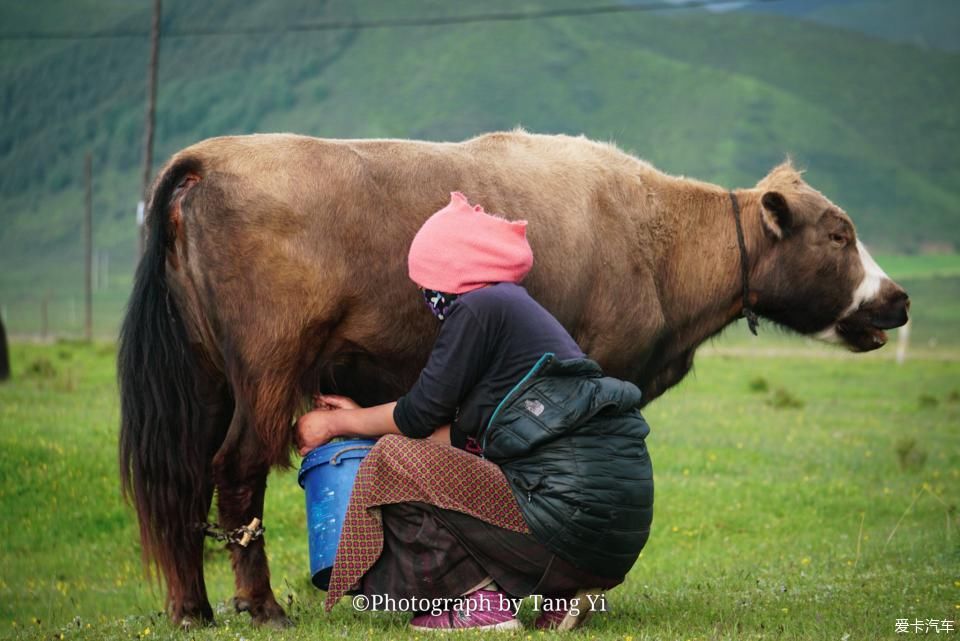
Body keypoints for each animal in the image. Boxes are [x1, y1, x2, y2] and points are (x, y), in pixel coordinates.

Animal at [118, 129, 908, 624]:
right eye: (839, 234)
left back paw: (192, 608)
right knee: (236, 471)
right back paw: (262, 606)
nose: (897, 298)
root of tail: (209, 161)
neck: (656, 239)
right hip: (267, 369)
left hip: (204, 379)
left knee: (180, 477)